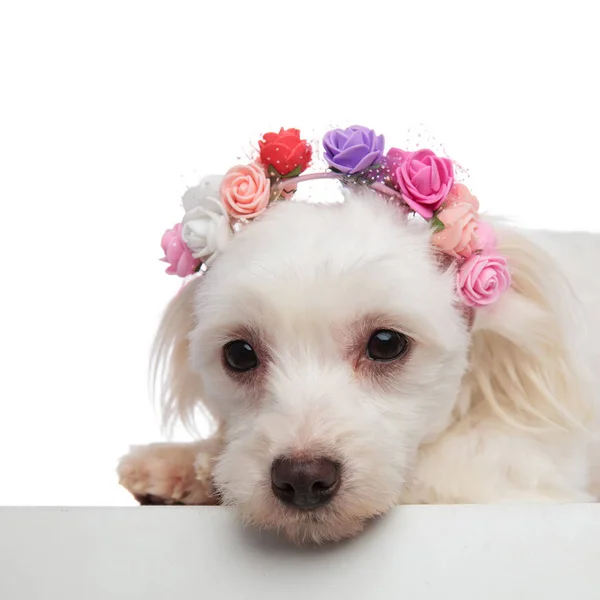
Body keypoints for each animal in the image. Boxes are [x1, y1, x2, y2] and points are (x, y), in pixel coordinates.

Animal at [117, 134, 600, 548]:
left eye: (386, 343)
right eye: (238, 354)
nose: (303, 479)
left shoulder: (513, 470)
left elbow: (433, 474)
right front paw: (180, 462)